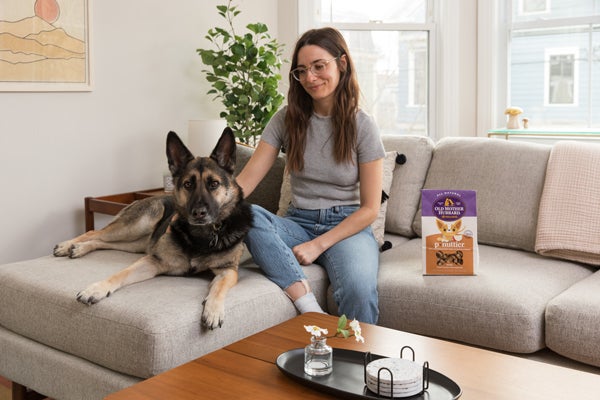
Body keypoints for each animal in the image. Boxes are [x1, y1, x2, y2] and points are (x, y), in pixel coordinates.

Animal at [54, 128, 253, 328]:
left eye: (214, 184)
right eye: (188, 184)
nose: (198, 213)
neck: (201, 236)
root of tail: (152, 197)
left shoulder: (228, 271)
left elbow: (219, 287)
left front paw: (214, 310)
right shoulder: (152, 261)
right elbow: (120, 274)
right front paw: (96, 288)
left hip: (135, 244)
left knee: (103, 241)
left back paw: (78, 248)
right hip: (136, 226)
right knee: (95, 232)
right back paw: (68, 245)